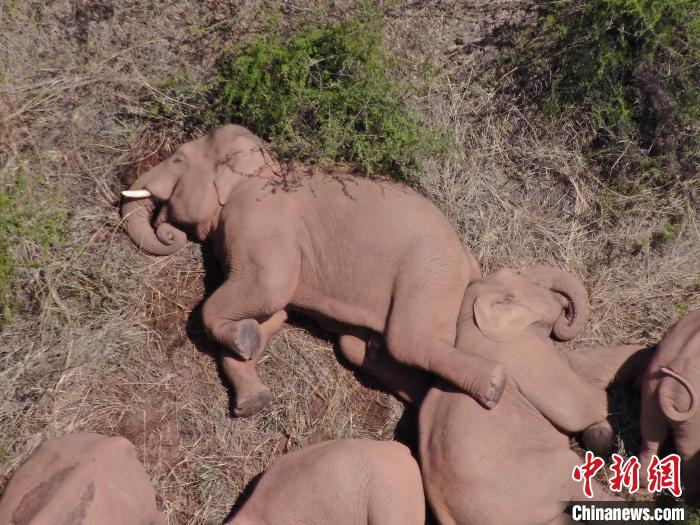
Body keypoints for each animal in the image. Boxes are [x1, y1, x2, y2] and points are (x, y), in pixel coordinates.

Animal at [121, 124, 505, 417]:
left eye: (178, 159)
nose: (168, 231)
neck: (262, 167)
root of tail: (469, 259)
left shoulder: (261, 224)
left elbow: (268, 289)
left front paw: (245, 340)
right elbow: (275, 311)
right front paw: (253, 388)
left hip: (429, 271)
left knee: (409, 341)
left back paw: (494, 387)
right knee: (358, 347)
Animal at [639, 309, 700, 503]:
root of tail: (667, 383)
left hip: (649, 394)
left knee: (649, 438)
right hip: (693, 420)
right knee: (687, 454)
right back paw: (692, 502)